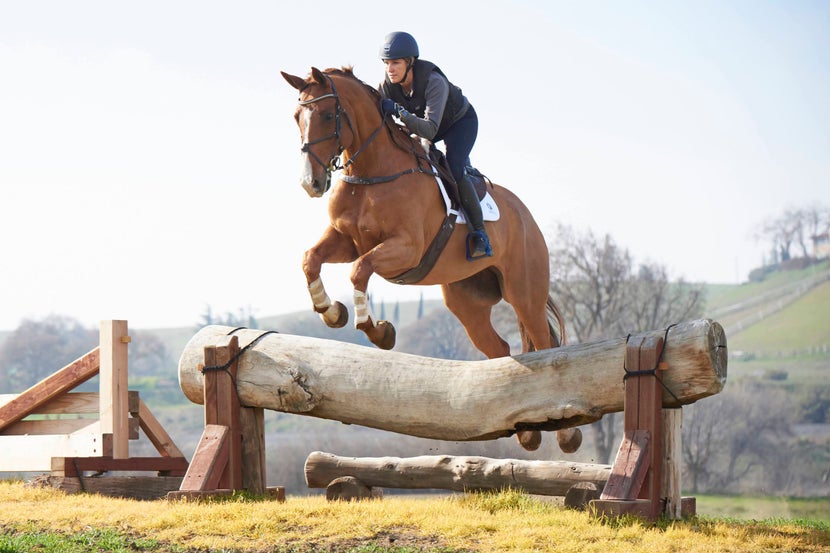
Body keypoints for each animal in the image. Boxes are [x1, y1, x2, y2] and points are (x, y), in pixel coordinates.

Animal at [280, 67, 580, 450]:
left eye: (329, 116)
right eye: (296, 116)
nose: (311, 183)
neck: (372, 171)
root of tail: (526, 216)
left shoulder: (405, 248)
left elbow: (359, 271)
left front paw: (377, 331)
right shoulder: (346, 240)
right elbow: (311, 259)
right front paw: (332, 312)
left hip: (525, 292)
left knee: (544, 345)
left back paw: (567, 434)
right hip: (466, 301)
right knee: (500, 349)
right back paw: (527, 431)